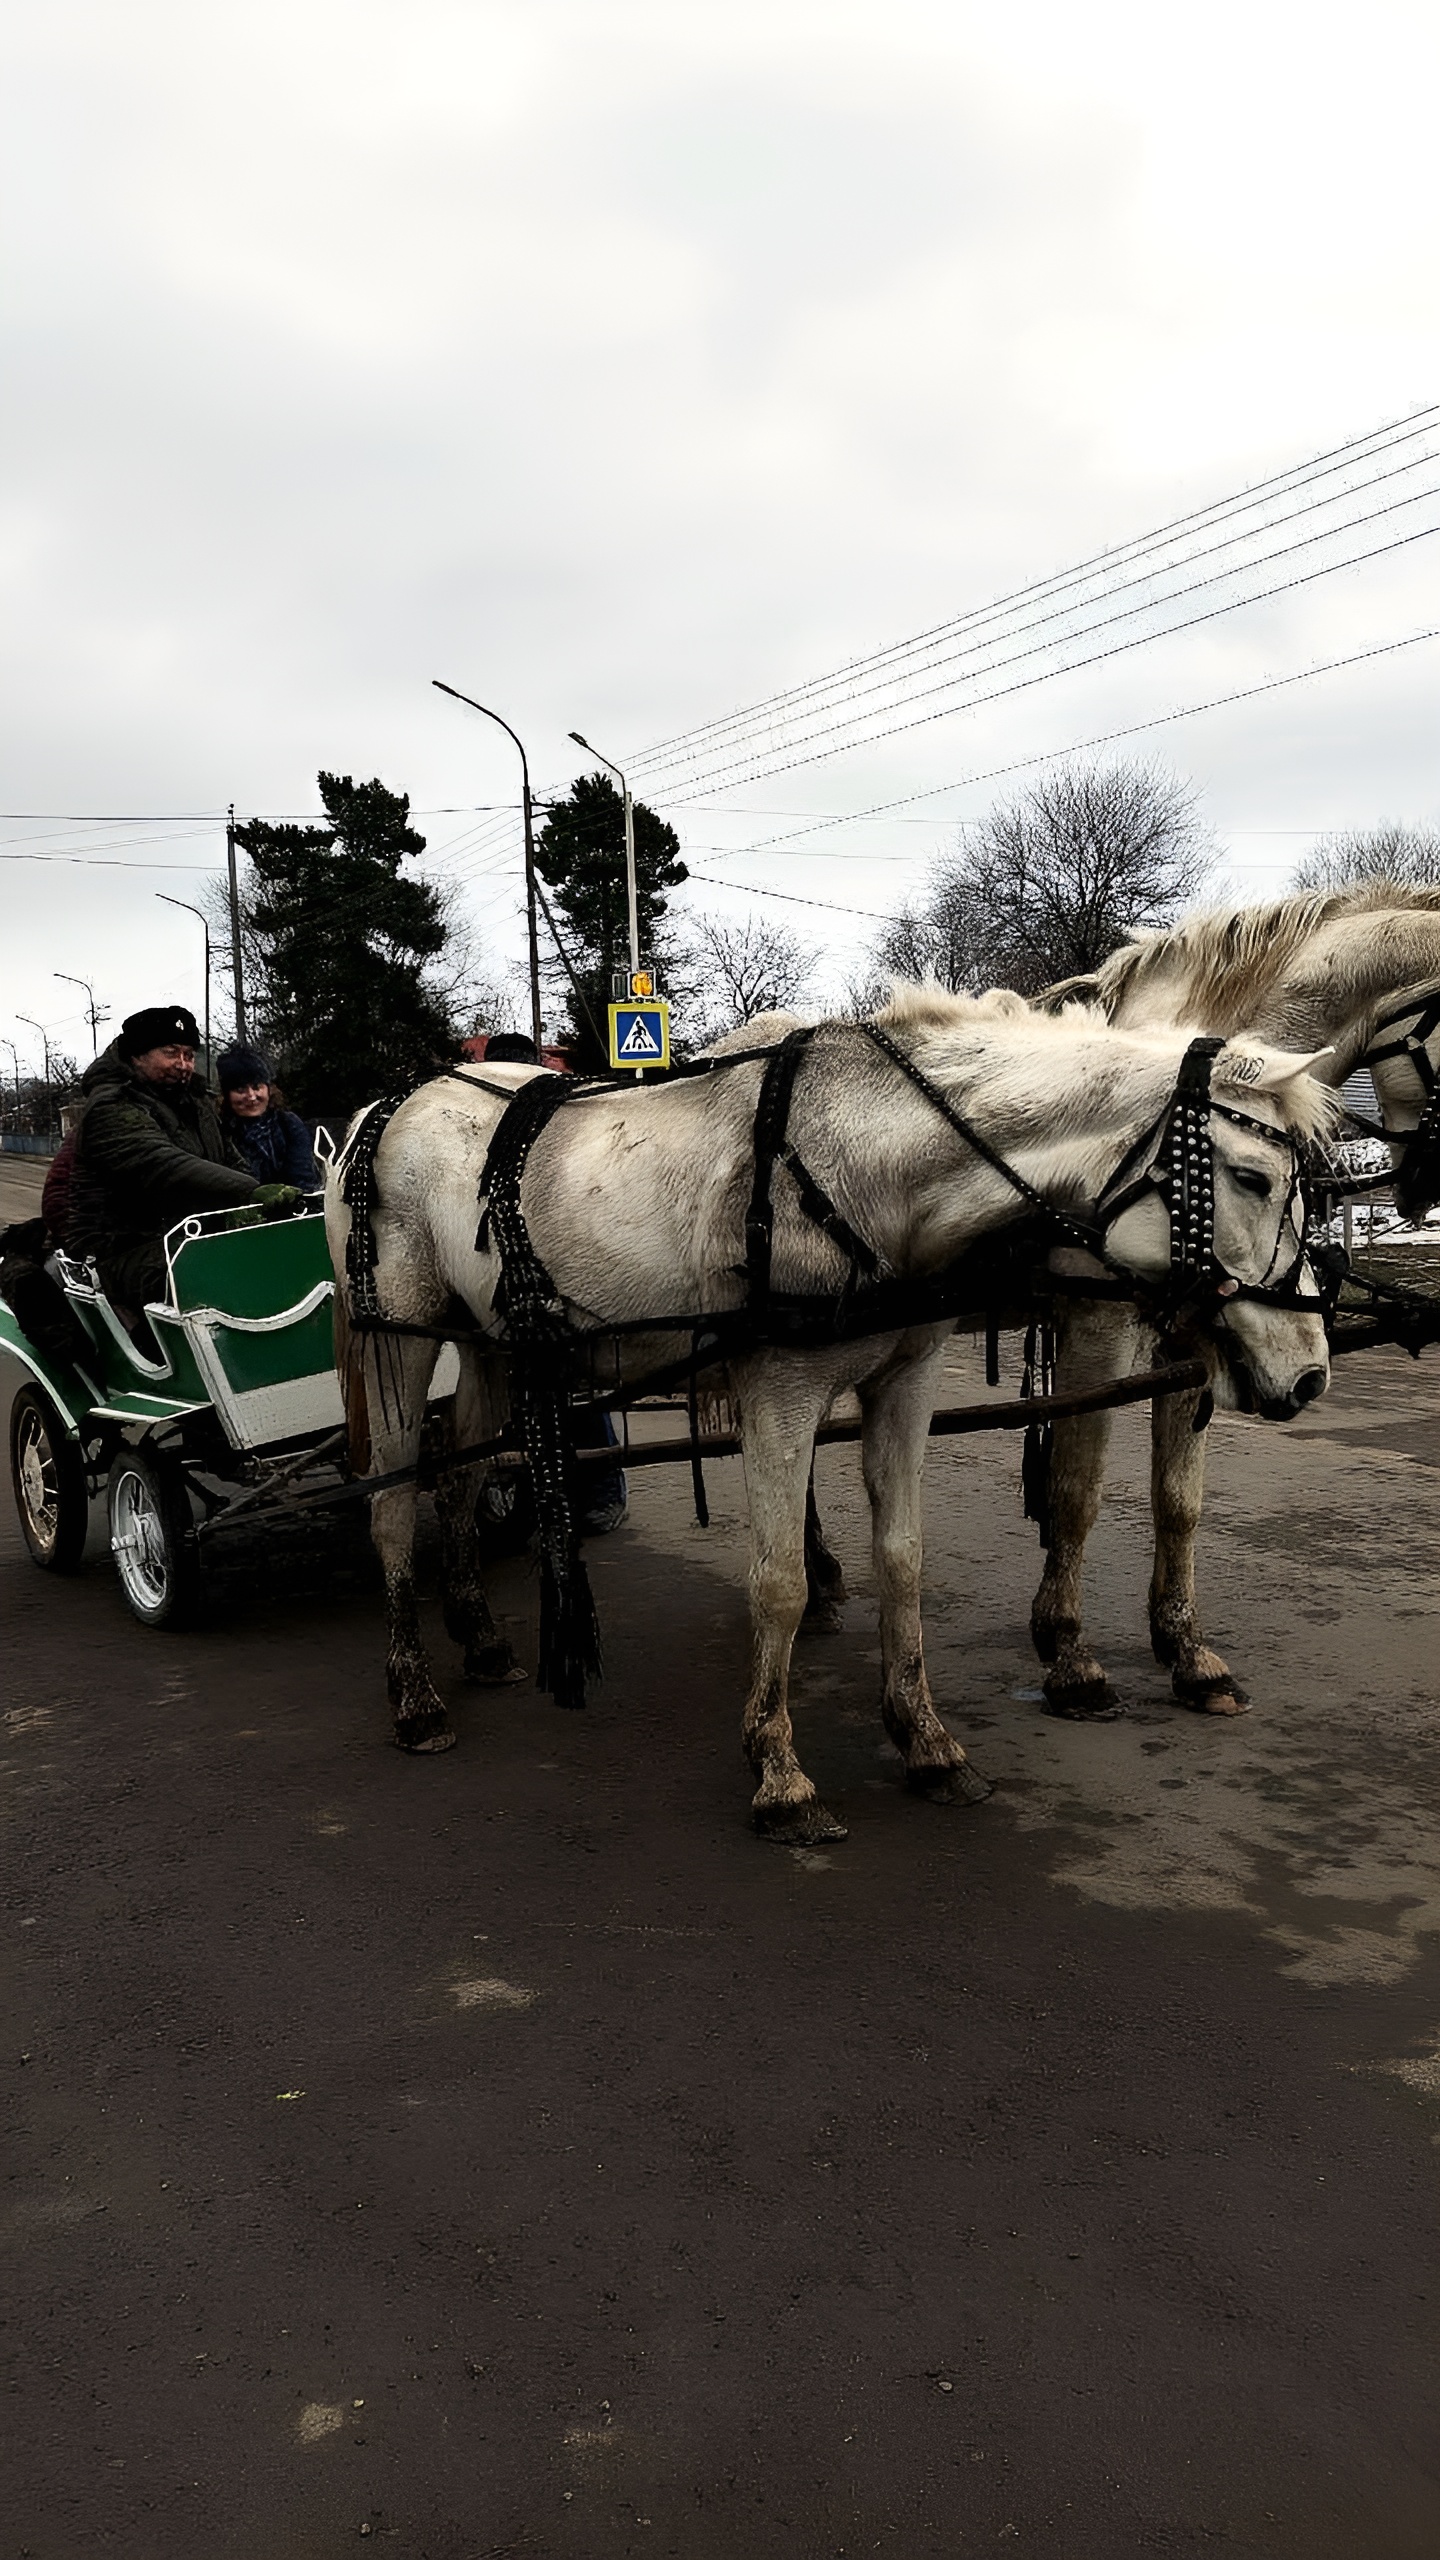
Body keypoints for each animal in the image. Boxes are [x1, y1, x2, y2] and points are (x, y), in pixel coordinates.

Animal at [325, 977, 1322, 1843]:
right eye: (1252, 1178)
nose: (1311, 1372)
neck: (866, 1165)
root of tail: (379, 1114)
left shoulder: (905, 1383)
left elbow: (904, 1560)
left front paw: (925, 1740)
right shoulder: (780, 1392)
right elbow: (779, 1582)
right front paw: (779, 1774)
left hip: (495, 1345)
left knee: (461, 1480)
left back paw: (482, 1639)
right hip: (398, 1346)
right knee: (391, 1507)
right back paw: (414, 1698)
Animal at [1024, 880, 1440, 1720]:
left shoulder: (1196, 1338)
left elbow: (1178, 1500)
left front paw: (1187, 1651)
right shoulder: (1097, 1327)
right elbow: (1077, 1487)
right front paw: (1072, 1657)